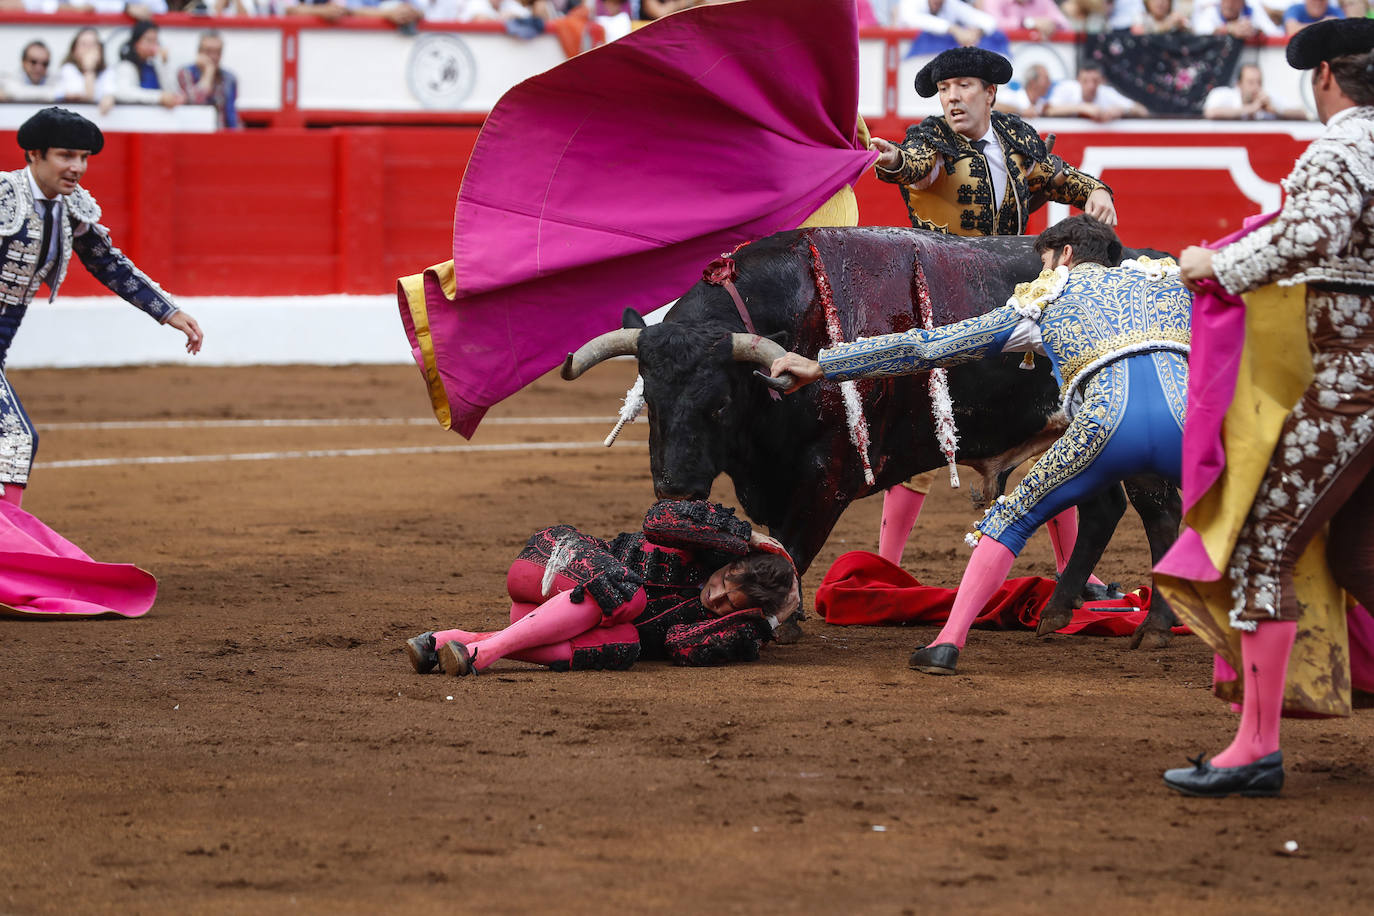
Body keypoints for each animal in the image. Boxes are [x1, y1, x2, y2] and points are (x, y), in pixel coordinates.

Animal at [566, 225, 1181, 648]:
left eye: (719, 404)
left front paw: (777, 616)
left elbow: (791, 546)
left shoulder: (825, 479)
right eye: (651, 400)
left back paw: (1153, 626)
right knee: (1101, 509)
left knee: (1158, 510)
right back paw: (1056, 612)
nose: (675, 488)